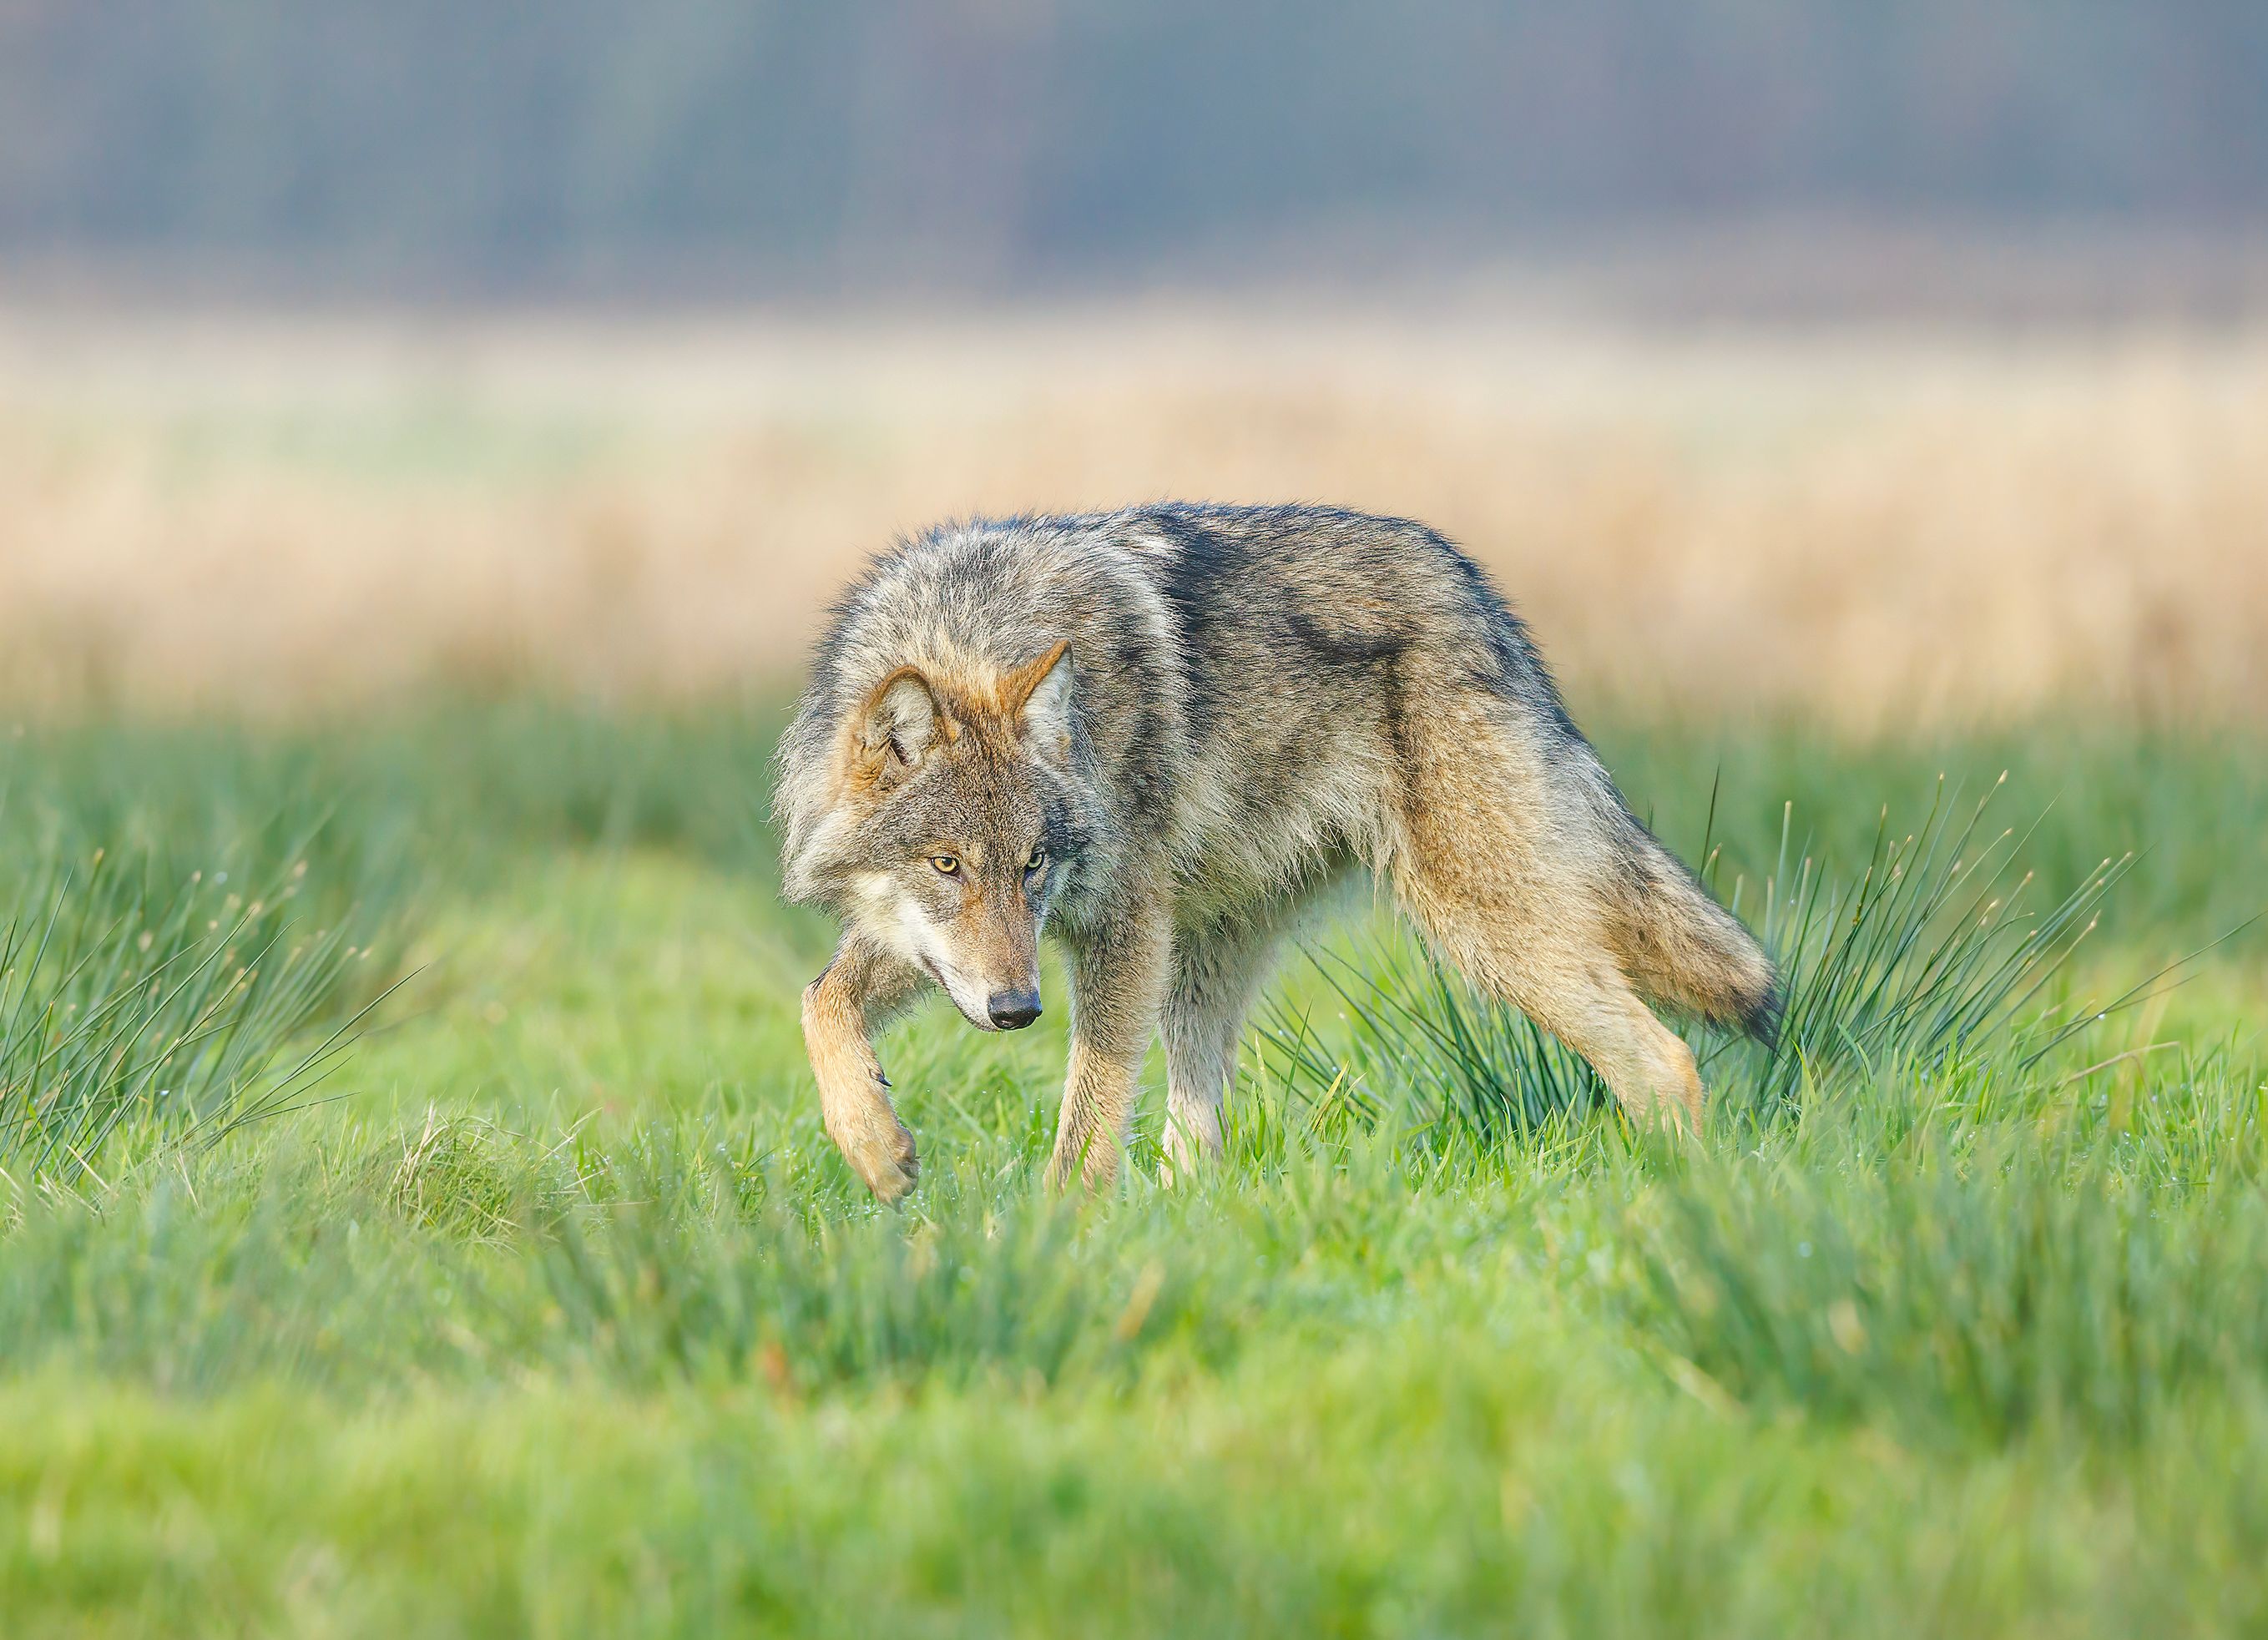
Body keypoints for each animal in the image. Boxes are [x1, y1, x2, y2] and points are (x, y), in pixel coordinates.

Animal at [770, 503, 1778, 1206]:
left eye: (1031, 864)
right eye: (947, 865)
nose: (1018, 1011)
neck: (970, 625)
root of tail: (1474, 589)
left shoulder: (1121, 926)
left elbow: (1085, 1123)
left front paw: (1047, 1240)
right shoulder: (943, 946)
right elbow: (820, 1001)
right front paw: (875, 1148)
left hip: (1479, 932)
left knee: (1664, 1061)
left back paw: (1685, 1208)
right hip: (1202, 963)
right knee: (1197, 1144)